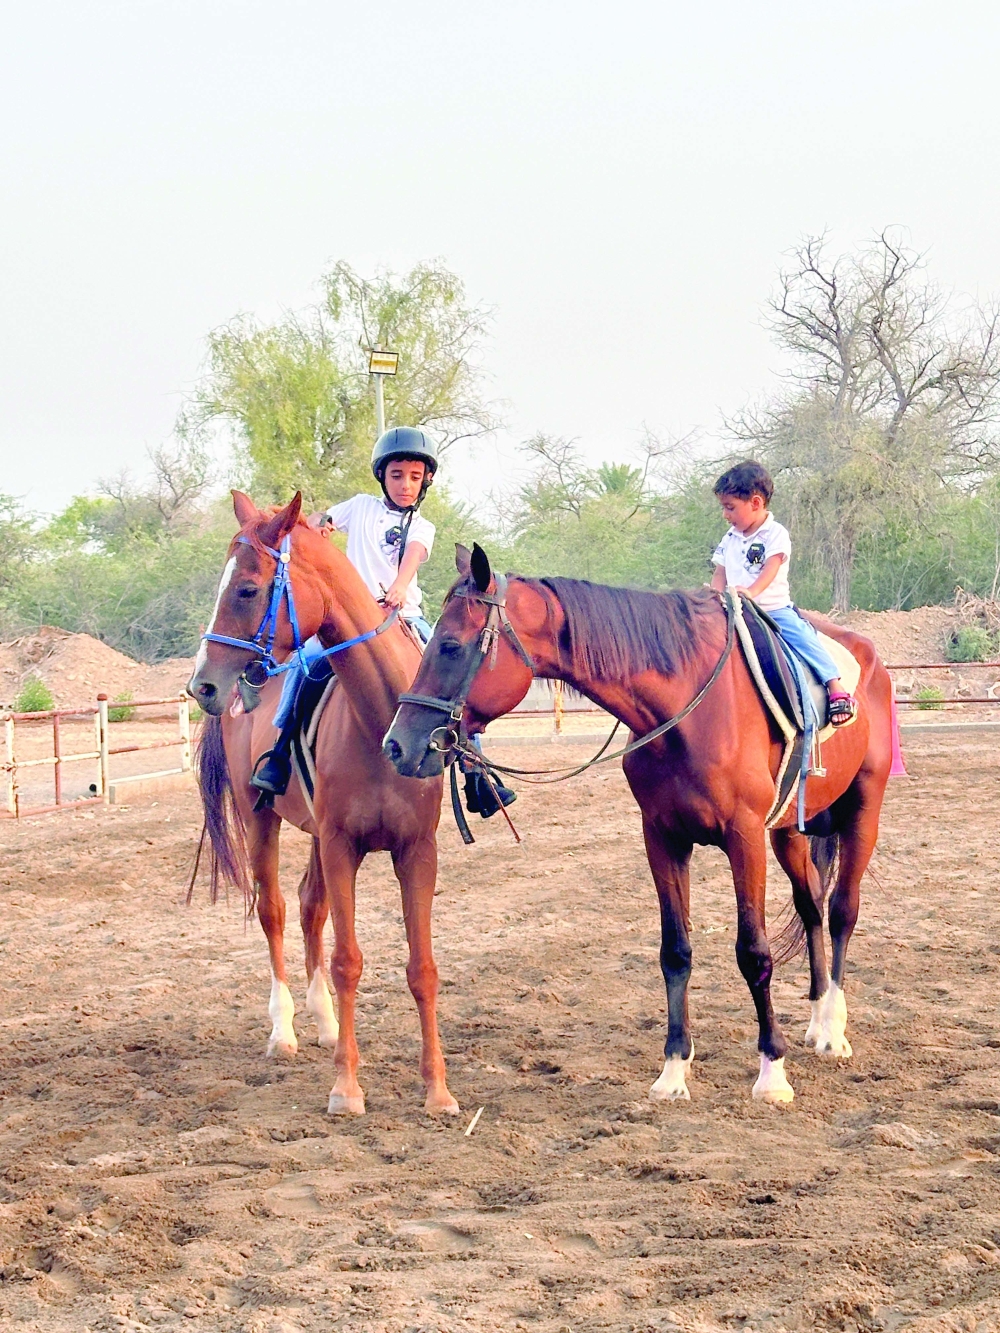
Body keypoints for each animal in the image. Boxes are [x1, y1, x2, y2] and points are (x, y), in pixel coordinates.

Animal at [187, 490, 458, 1117]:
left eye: (247, 589)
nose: (203, 686)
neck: (380, 719)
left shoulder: (417, 850)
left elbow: (423, 967)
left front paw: (437, 1089)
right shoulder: (341, 847)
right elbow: (347, 961)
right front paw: (347, 1088)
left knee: (311, 907)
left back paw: (327, 1025)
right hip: (261, 819)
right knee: (276, 910)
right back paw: (284, 1030)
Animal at [382, 543, 893, 1105]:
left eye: (450, 646)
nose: (397, 745)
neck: (689, 707)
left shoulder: (743, 839)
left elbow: (753, 951)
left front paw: (771, 1071)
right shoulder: (662, 837)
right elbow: (676, 951)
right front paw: (673, 1069)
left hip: (862, 812)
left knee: (842, 911)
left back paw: (834, 1030)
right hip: (787, 833)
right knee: (812, 908)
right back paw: (820, 1019)